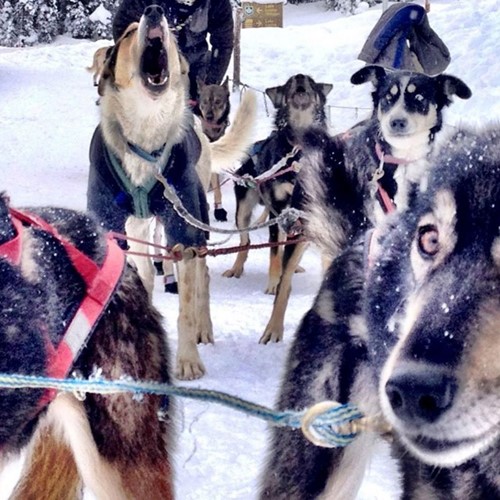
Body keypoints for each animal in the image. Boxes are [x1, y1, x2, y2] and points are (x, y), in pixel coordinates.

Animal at [86, 4, 256, 378]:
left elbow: (186, 310)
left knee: (201, 281)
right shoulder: (115, 228)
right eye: (128, 32)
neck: (146, 142)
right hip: (140, 229)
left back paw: (204, 328)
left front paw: (188, 361)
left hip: (194, 223)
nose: (154, 11)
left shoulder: (183, 234)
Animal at [223, 73, 332, 292]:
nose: (300, 77)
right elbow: (274, 252)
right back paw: (237, 268)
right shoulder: (278, 208)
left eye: (310, 81)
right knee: (245, 242)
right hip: (243, 212)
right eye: (290, 82)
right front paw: (274, 283)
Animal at [262, 64, 472, 346]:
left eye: (419, 98)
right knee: (285, 282)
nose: (396, 121)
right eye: (388, 97)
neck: (399, 164)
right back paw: (274, 327)